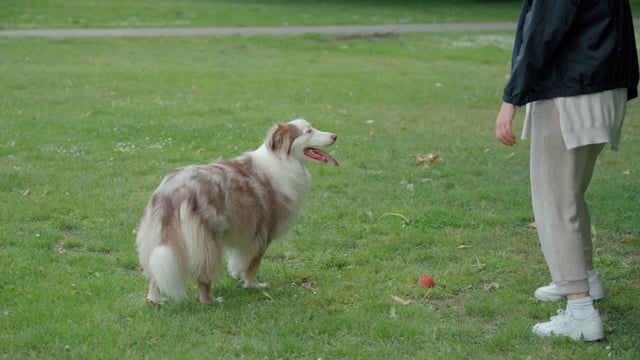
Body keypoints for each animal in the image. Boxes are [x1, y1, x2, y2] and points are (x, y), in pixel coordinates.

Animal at [136, 119, 340, 304]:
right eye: (309, 131)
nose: (335, 136)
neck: (282, 161)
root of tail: (172, 191)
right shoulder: (262, 232)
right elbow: (252, 264)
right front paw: (254, 285)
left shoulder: (246, 232)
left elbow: (239, 260)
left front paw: (240, 277)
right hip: (207, 243)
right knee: (203, 277)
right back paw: (211, 300)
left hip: (159, 239)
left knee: (155, 273)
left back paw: (155, 300)